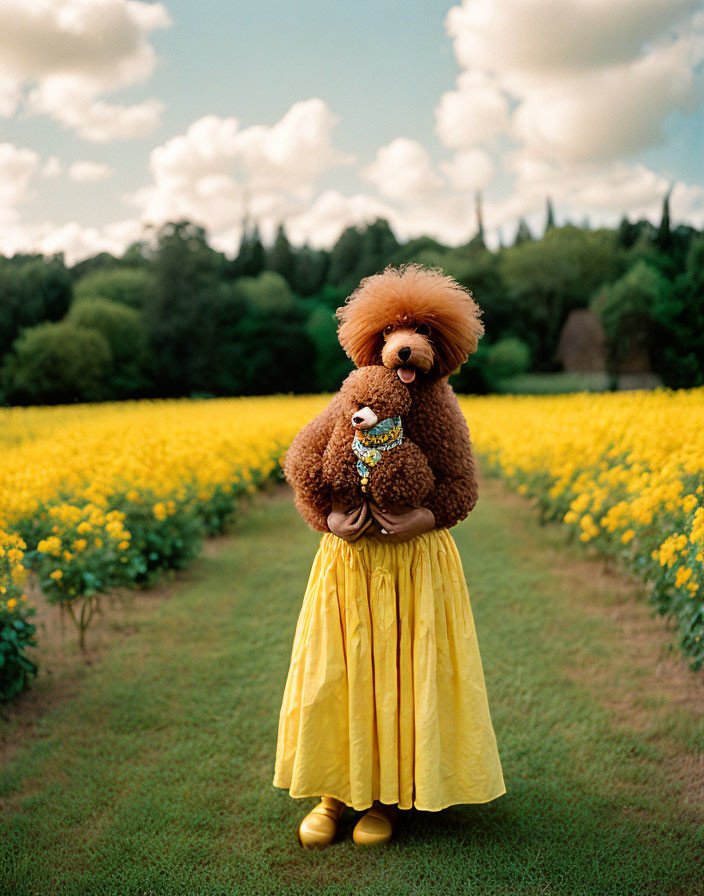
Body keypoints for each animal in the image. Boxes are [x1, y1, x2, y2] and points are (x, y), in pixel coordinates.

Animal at [282, 264, 484, 532]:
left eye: (423, 329)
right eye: (388, 330)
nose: (404, 351)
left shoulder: (443, 414)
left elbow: (460, 483)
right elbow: (303, 450)